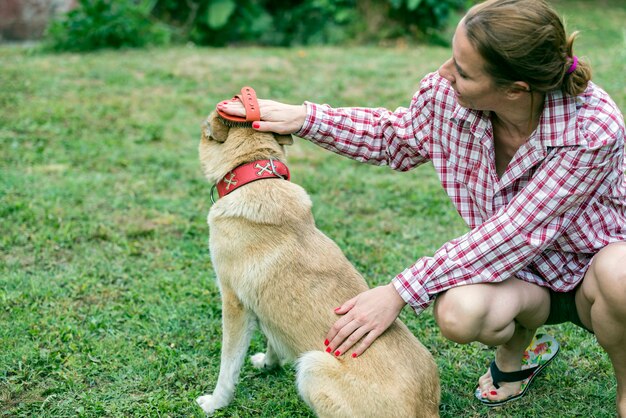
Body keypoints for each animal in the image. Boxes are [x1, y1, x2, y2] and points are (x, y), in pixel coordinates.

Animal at [196, 112, 438, 418]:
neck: (255, 180)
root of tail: (427, 409)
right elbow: (273, 338)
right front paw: (269, 363)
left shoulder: (234, 304)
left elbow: (228, 366)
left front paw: (215, 403)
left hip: (313, 366)